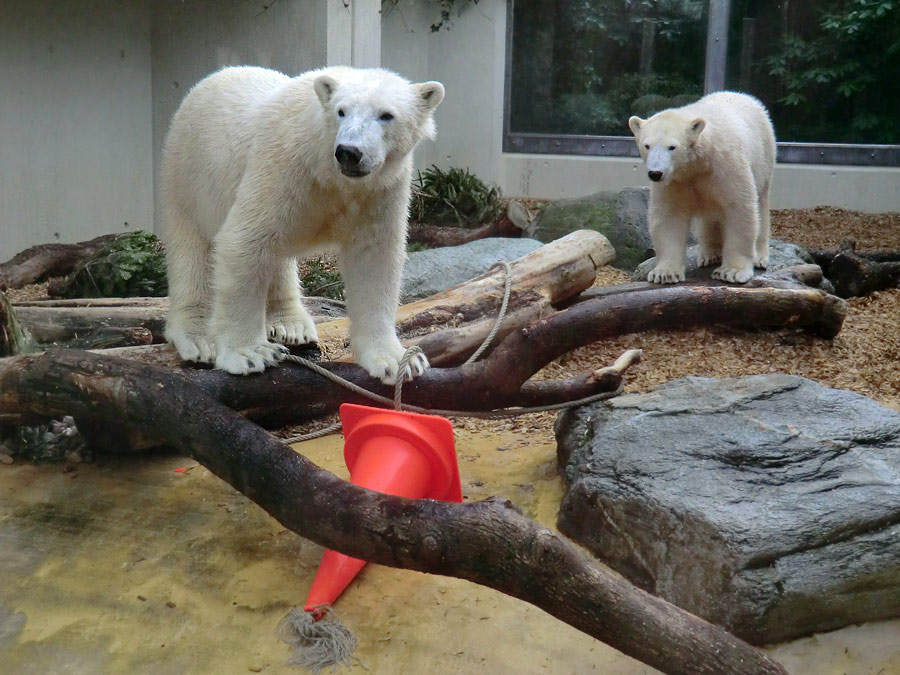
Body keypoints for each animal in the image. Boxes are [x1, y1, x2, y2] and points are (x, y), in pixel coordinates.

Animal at [162, 65, 446, 382]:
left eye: (386, 115)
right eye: (341, 111)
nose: (349, 152)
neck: (327, 169)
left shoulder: (380, 190)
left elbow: (374, 259)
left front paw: (397, 360)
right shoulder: (282, 168)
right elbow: (244, 240)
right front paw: (249, 354)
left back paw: (291, 325)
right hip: (188, 174)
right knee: (192, 250)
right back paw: (197, 337)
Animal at [628, 90, 776, 286]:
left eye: (672, 147)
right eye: (647, 145)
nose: (655, 173)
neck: (698, 163)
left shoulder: (727, 166)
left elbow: (739, 208)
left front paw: (731, 272)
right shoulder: (676, 181)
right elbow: (670, 215)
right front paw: (665, 273)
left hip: (764, 155)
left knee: (761, 202)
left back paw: (759, 257)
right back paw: (709, 254)